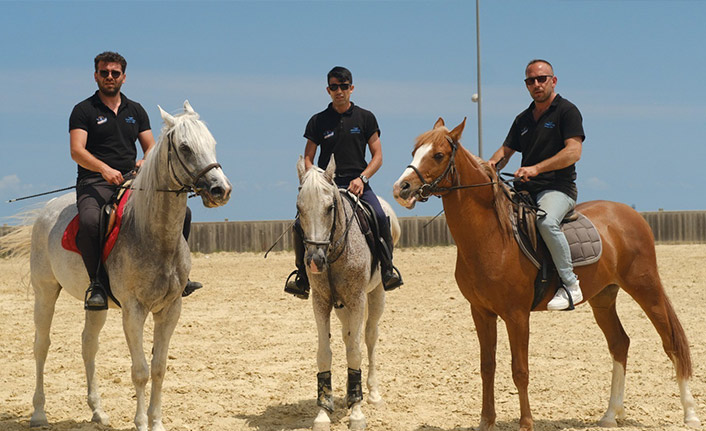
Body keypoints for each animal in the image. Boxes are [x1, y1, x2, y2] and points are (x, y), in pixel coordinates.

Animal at [390, 118, 700, 431]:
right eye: (415, 151)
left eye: (438, 155)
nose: (401, 188)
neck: (493, 237)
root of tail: (630, 215)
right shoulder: (481, 312)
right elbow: (487, 367)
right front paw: (486, 421)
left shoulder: (516, 315)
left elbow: (520, 369)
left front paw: (526, 423)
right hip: (603, 297)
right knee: (619, 343)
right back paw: (611, 414)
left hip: (646, 289)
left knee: (671, 342)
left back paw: (689, 413)